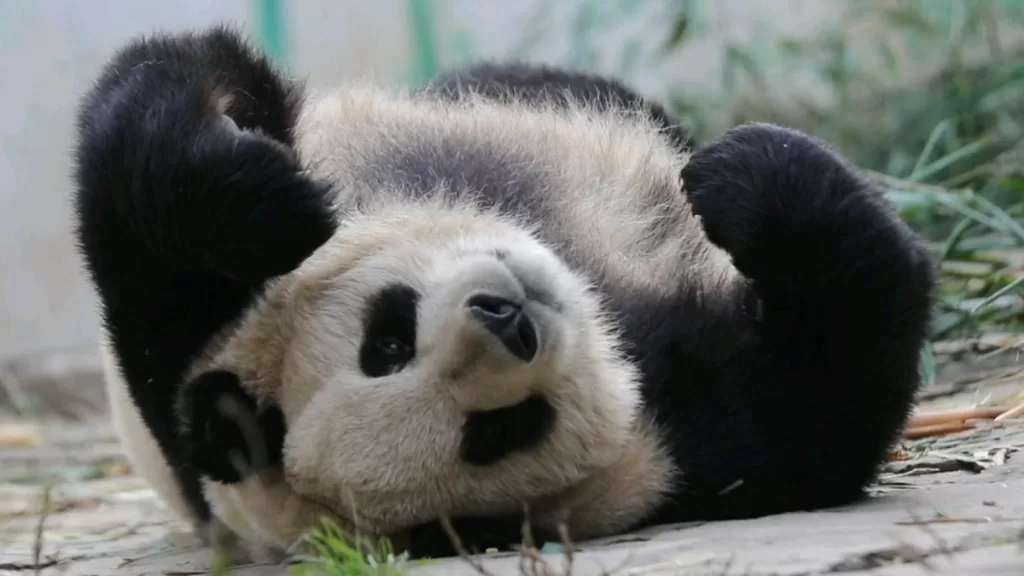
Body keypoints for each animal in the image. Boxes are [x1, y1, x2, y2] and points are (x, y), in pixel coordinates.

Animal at [72, 25, 936, 562]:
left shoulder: (175, 336)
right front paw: (755, 182)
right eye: (497, 431)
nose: (509, 318)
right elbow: (829, 395)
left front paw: (272, 203)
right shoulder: (693, 451)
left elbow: (155, 120)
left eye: (386, 341)